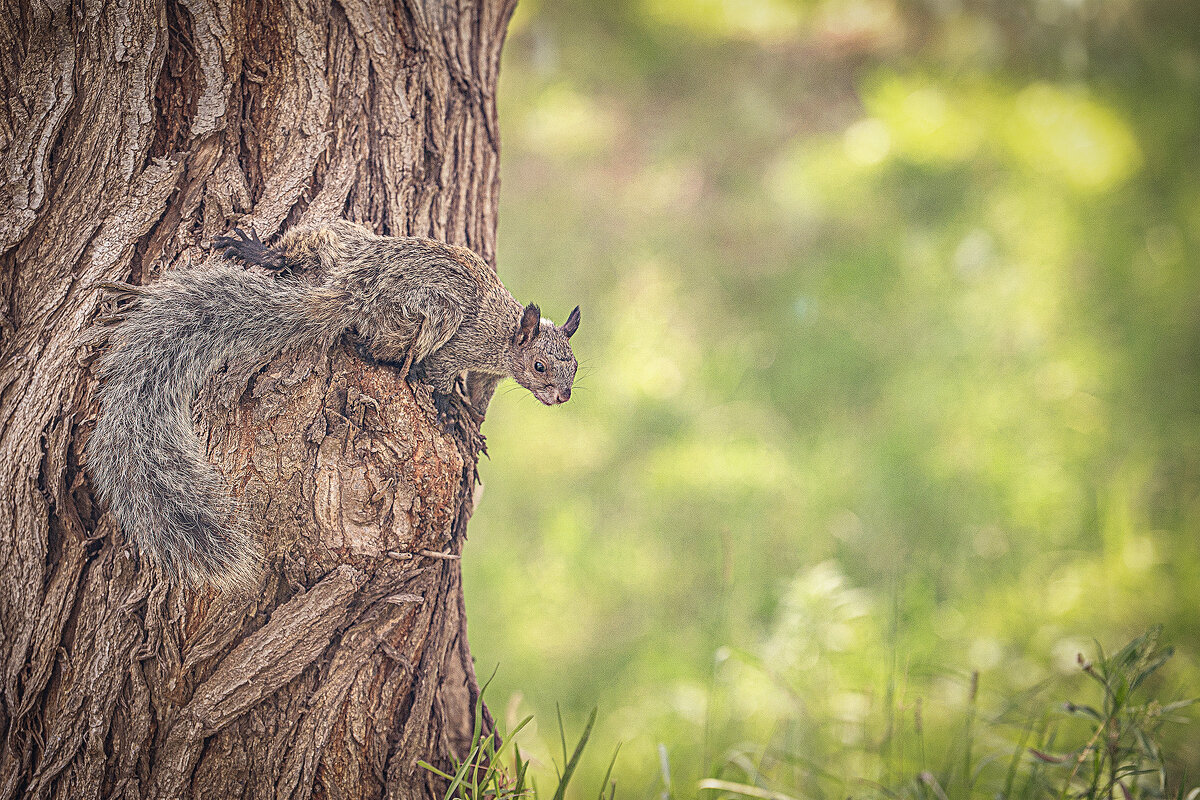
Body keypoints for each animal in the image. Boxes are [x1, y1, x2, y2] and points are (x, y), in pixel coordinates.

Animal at [88, 220, 581, 590]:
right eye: (540, 366)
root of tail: (351, 291)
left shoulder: (488, 373)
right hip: (428, 315)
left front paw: (475, 422)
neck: (505, 335)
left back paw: (264, 254)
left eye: (574, 366)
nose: (564, 395)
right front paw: (453, 413)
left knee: (303, 254)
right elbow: (441, 380)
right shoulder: (461, 349)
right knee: (383, 344)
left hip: (342, 238)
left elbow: (480, 395)